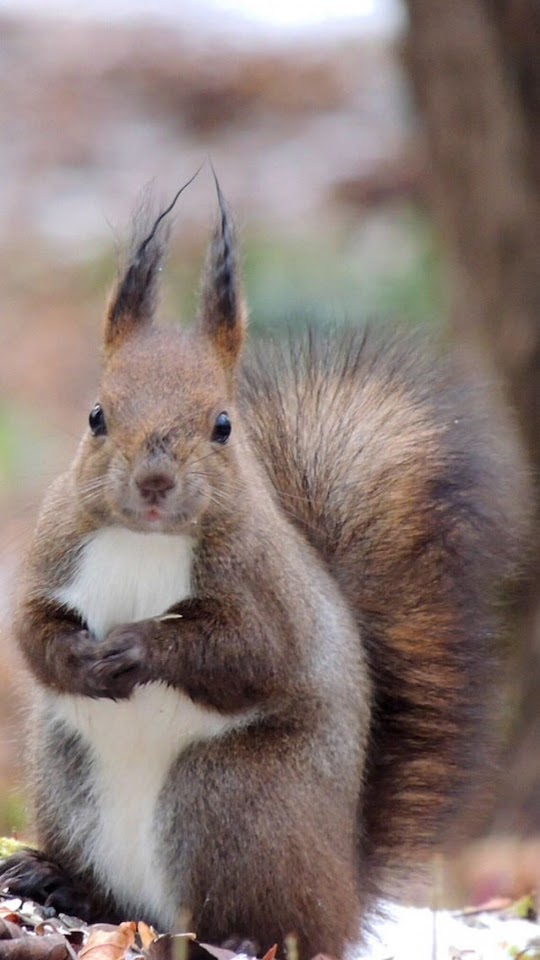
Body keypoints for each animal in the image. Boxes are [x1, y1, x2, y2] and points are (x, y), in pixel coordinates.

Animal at [0, 173, 525, 958]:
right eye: (96, 416)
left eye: (223, 425)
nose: (154, 483)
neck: (144, 541)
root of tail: (341, 896)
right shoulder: (53, 554)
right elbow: (33, 632)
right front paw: (79, 658)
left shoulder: (264, 591)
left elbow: (248, 654)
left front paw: (139, 646)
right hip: (68, 775)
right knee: (117, 894)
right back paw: (60, 881)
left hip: (229, 801)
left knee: (235, 915)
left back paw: (219, 933)